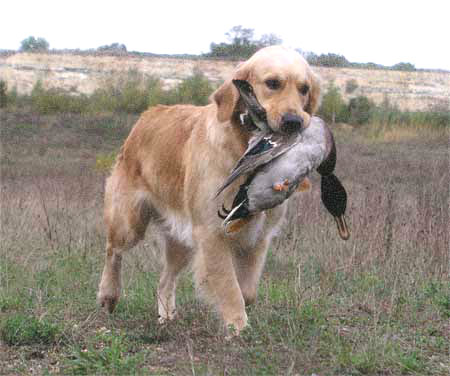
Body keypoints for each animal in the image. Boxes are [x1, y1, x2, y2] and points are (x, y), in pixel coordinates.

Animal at [96, 45, 320, 336]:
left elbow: (247, 291)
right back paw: (108, 294)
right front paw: (238, 326)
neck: (243, 145)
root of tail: (148, 114)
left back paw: (166, 316)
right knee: (113, 250)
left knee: (164, 280)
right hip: (129, 222)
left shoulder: (259, 237)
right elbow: (230, 287)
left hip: (181, 238)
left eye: (304, 89)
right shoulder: (211, 234)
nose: (294, 121)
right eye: (272, 83)